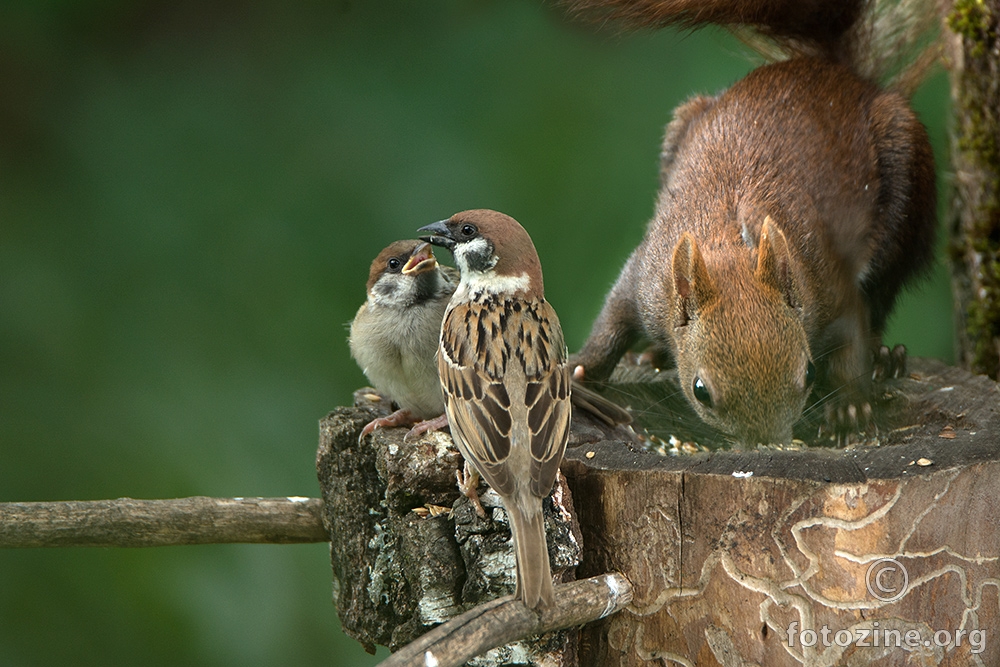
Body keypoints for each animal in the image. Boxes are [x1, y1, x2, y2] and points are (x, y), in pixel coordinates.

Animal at [572, 1, 936, 448]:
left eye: (808, 373)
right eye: (700, 391)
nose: (769, 442)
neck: (726, 242)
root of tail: (835, 72)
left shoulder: (826, 283)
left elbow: (852, 338)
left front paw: (849, 406)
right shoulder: (648, 279)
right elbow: (612, 319)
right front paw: (581, 369)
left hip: (905, 191)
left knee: (883, 295)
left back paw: (885, 358)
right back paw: (655, 355)